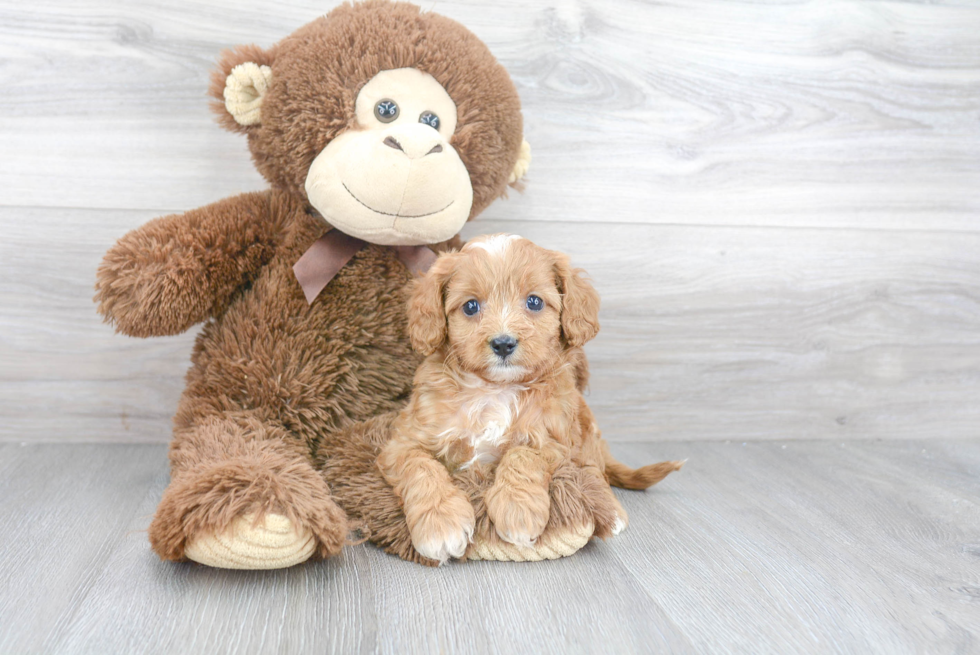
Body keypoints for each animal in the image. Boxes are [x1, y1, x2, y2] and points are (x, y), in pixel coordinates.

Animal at [378, 234, 684, 564]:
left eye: (534, 302)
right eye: (471, 306)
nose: (503, 343)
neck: (495, 390)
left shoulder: (555, 441)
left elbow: (522, 453)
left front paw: (517, 510)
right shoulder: (402, 442)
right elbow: (421, 467)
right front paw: (440, 523)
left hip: (585, 430)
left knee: (593, 470)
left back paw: (611, 511)